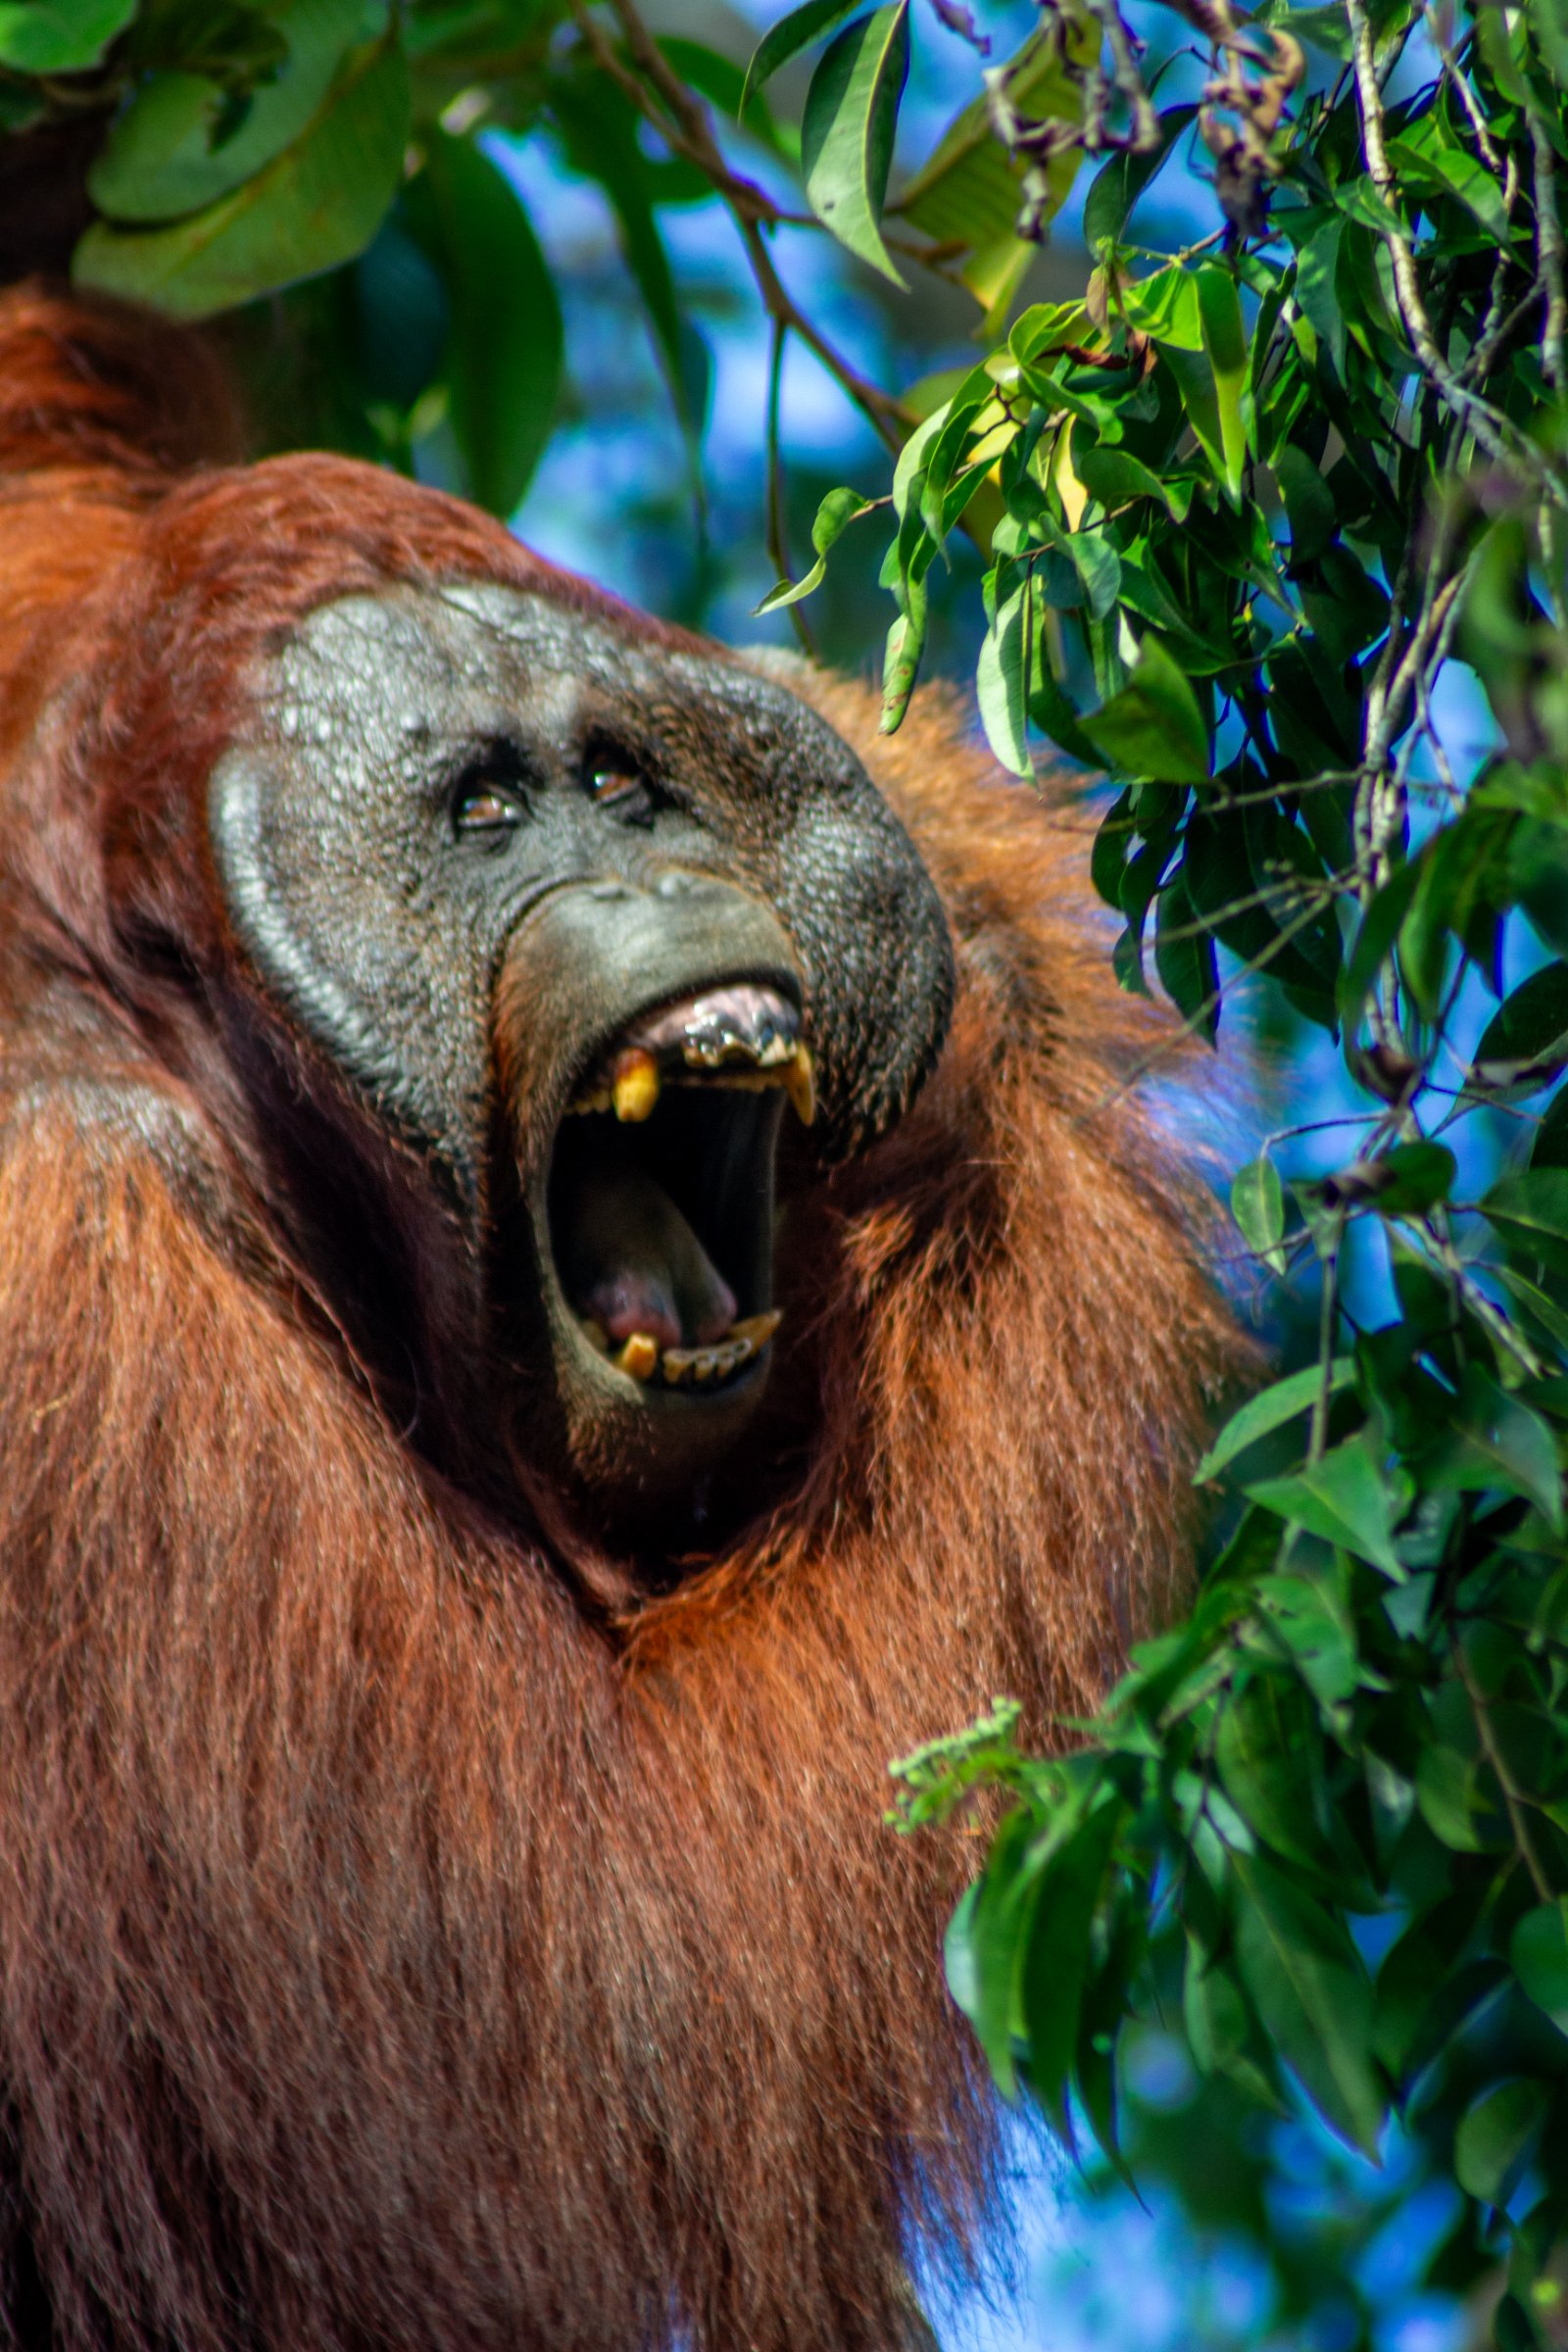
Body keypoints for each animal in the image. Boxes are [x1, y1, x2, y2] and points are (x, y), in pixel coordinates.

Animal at [0, 284, 1229, 2352]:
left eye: (628, 778)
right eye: (487, 807)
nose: (661, 870)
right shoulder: (74, 1294)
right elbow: (582, 2021)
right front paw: (991, 941)